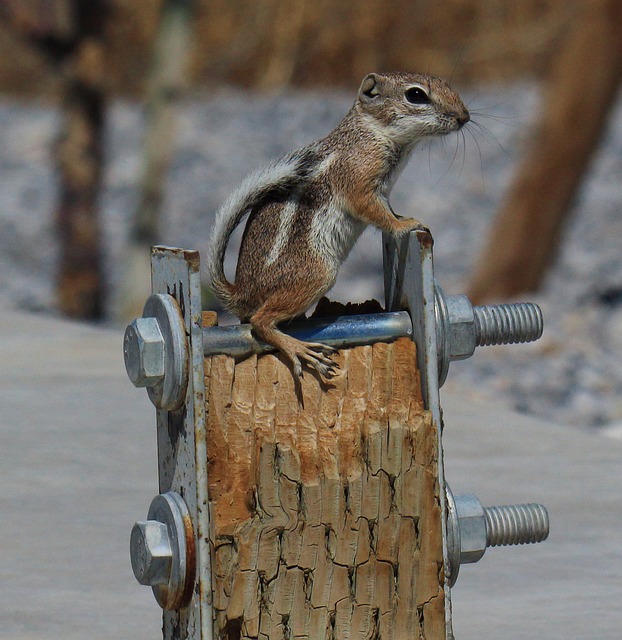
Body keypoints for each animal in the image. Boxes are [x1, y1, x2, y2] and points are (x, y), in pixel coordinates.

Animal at [208, 70, 468, 390]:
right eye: (416, 95)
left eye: (446, 84)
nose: (464, 117)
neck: (371, 131)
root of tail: (242, 293)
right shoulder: (360, 182)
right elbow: (376, 212)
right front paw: (405, 224)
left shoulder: (383, 191)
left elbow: (387, 210)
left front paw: (403, 216)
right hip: (318, 273)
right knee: (260, 322)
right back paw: (299, 349)